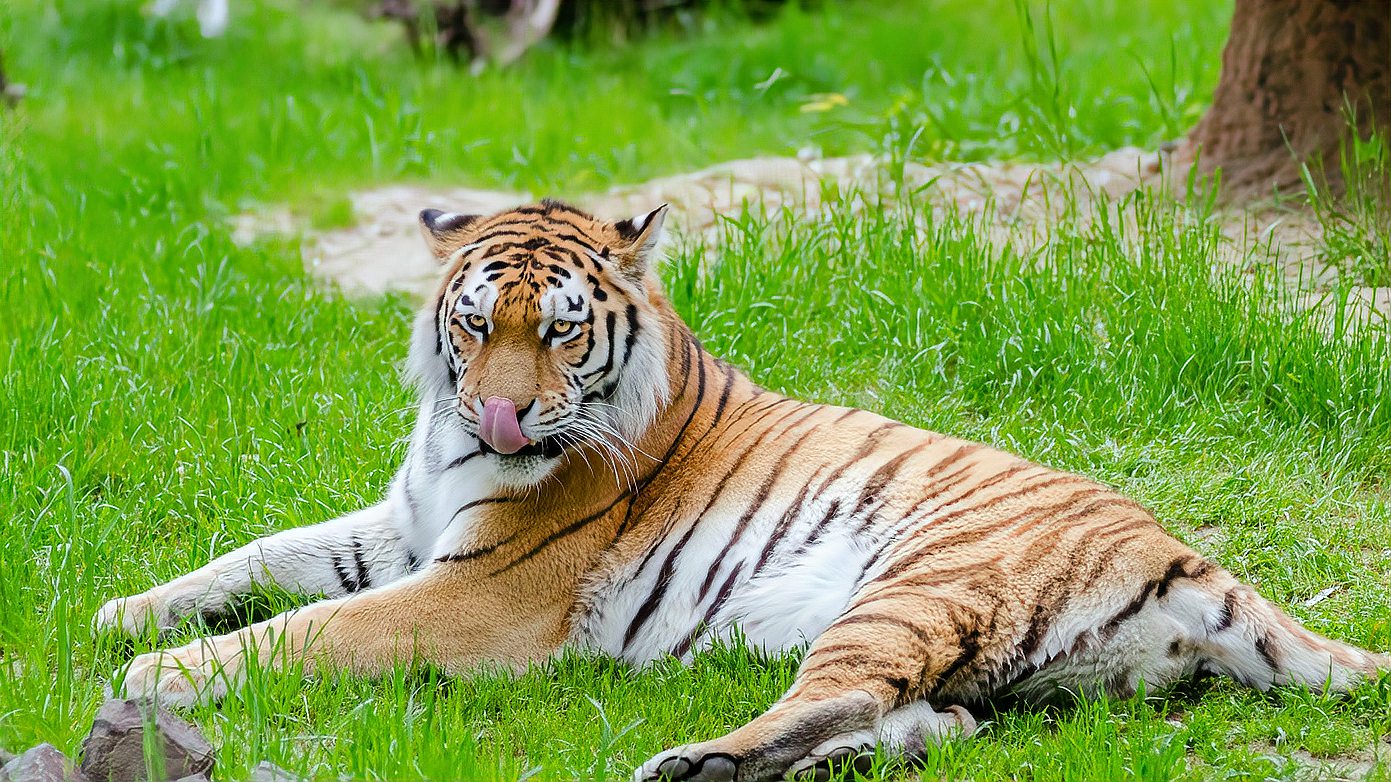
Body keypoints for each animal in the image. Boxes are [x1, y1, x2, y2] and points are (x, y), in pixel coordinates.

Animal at [92, 198, 1385, 779]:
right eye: (472, 324)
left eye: (560, 332)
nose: (502, 416)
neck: (451, 443)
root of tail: (1183, 551)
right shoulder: (406, 526)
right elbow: (262, 554)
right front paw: (126, 610)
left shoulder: (479, 591)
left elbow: (311, 624)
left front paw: (160, 674)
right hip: (997, 668)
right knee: (929, 720)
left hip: (907, 585)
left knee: (839, 693)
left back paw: (693, 759)